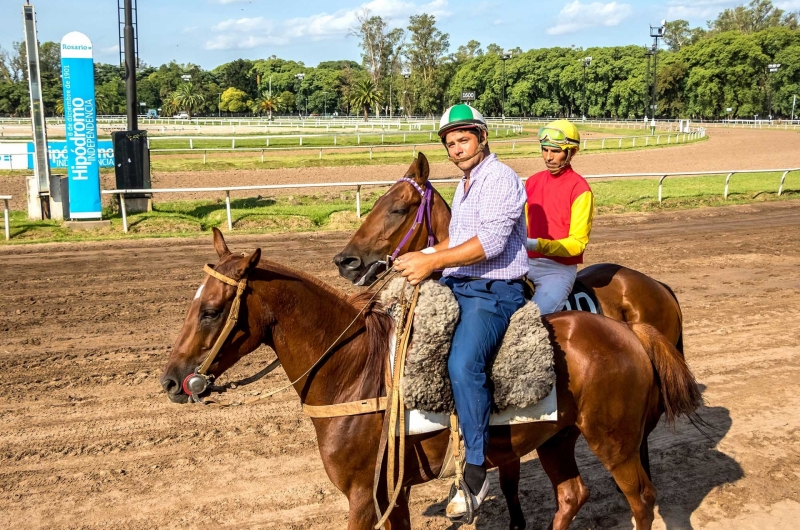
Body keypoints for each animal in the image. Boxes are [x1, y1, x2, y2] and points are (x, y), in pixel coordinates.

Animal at [159, 228, 696, 528]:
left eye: (211, 311)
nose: (170, 380)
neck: (356, 373)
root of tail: (629, 330)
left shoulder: (362, 496)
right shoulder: (390, 492)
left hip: (615, 442)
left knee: (643, 500)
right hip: (557, 438)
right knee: (571, 496)